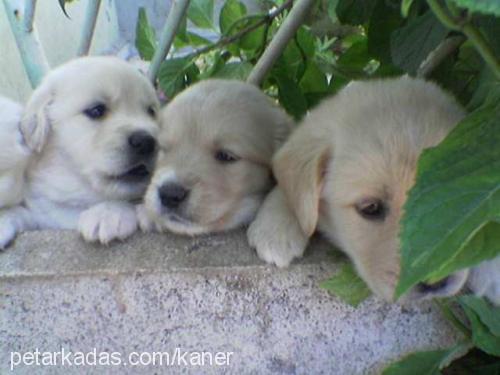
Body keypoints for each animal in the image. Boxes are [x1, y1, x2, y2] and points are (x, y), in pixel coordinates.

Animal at [0, 56, 159, 250]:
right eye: (96, 110)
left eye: (151, 112)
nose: (147, 142)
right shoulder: (47, 216)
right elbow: (23, 213)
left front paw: (108, 213)